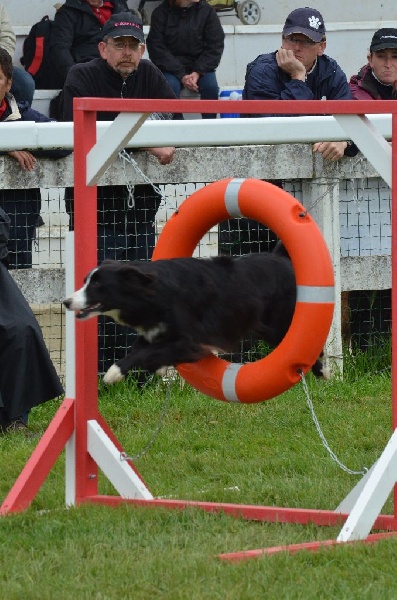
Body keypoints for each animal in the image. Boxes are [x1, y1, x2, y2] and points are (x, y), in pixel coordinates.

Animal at [63, 250, 326, 384]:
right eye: (86, 281)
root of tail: (283, 258)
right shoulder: (155, 332)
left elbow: (147, 353)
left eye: (97, 285)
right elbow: (140, 348)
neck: (153, 293)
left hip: (279, 323)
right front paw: (156, 368)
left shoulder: (189, 340)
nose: (66, 302)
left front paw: (113, 373)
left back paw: (323, 371)